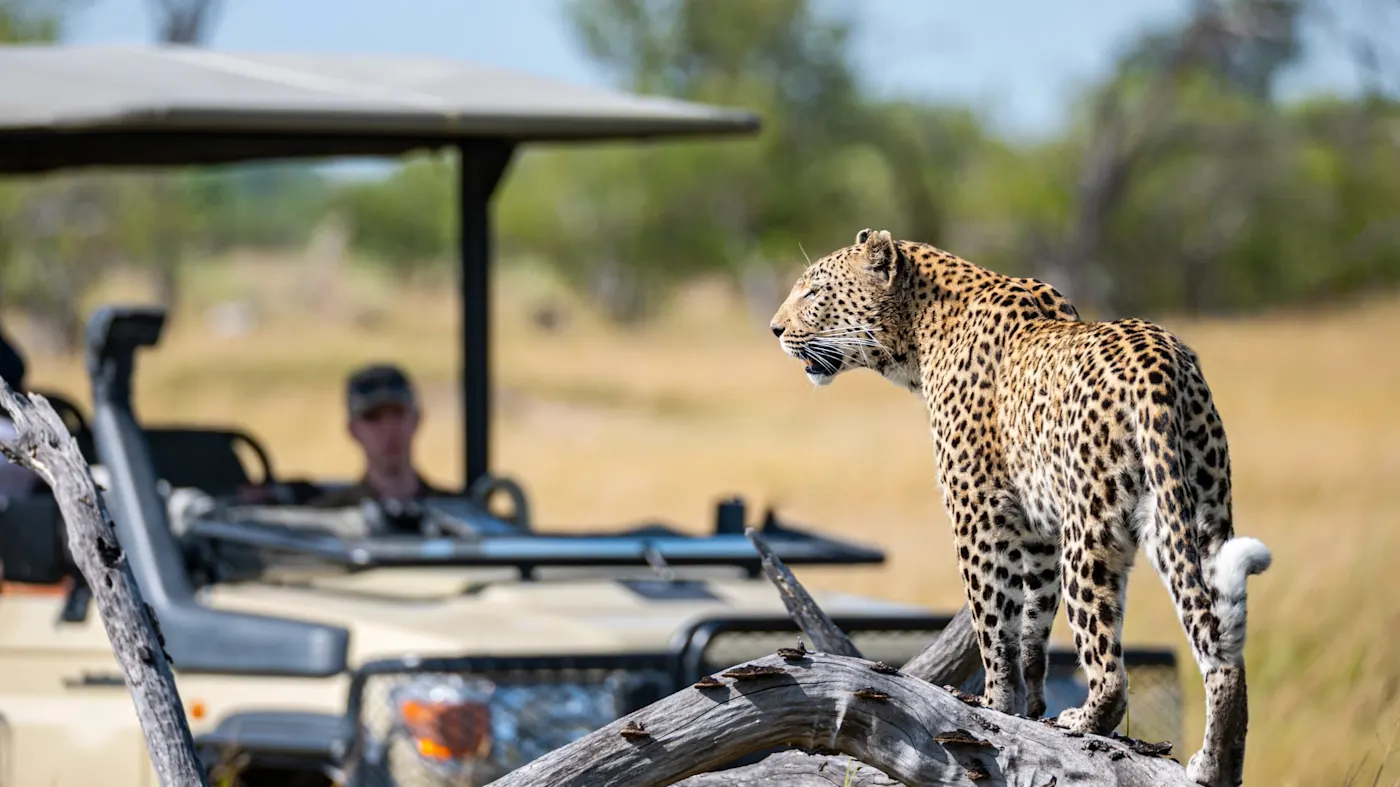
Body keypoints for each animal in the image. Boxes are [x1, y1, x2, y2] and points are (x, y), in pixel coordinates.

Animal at [768, 228, 1272, 787]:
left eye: (814, 292)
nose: (775, 329)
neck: (919, 332)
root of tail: (1158, 359)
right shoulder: (1036, 531)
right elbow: (1030, 626)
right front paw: (1029, 710)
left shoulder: (977, 512)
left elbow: (993, 618)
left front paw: (994, 704)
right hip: (1196, 515)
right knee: (1219, 644)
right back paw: (1216, 762)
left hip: (1091, 534)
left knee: (1110, 665)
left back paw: (1085, 720)